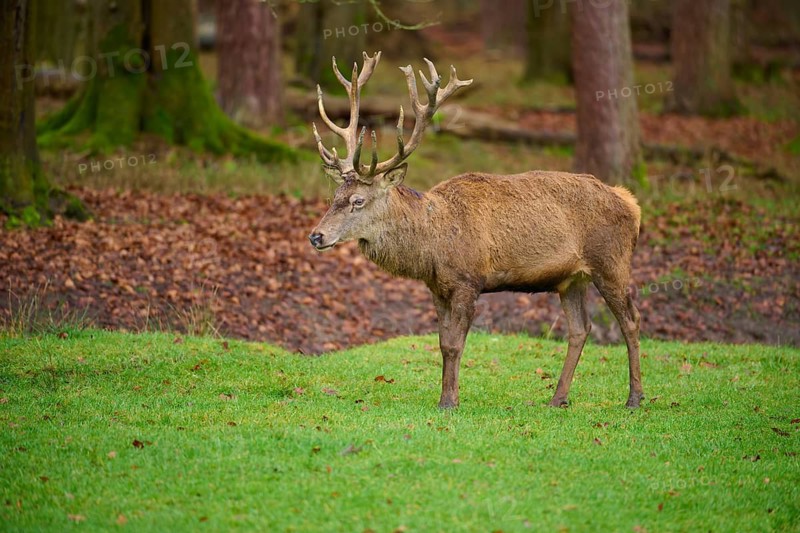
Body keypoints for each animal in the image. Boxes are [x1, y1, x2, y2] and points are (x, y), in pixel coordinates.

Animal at [308, 51, 644, 410]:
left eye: (358, 200)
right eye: (335, 196)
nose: (316, 235)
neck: (432, 244)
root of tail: (632, 204)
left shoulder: (468, 280)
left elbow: (456, 344)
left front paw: (449, 402)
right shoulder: (437, 287)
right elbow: (442, 344)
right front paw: (445, 396)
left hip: (611, 262)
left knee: (631, 320)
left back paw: (634, 398)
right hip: (571, 278)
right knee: (581, 328)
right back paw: (558, 398)